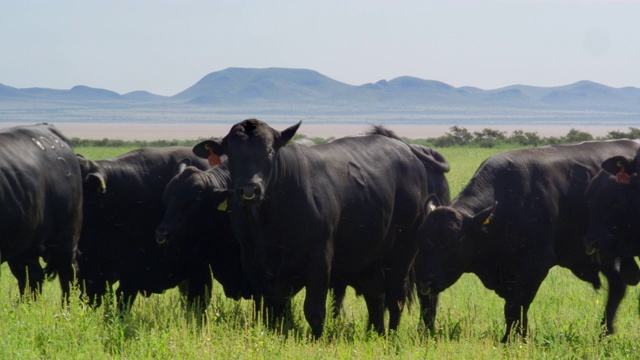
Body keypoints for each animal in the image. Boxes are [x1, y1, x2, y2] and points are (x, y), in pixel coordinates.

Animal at [200, 118, 450, 338]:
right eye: (231, 154)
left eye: (269, 152)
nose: (249, 189)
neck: (269, 222)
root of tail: (407, 152)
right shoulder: (254, 263)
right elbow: (269, 311)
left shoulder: (319, 260)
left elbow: (314, 310)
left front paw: (317, 340)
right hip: (370, 255)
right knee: (375, 294)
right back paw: (375, 333)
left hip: (404, 250)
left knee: (396, 296)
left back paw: (391, 337)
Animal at [416, 139, 640, 342]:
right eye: (422, 241)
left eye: (453, 243)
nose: (425, 281)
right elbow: (516, 307)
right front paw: (519, 336)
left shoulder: (536, 265)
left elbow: (516, 306)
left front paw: (511, 339)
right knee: (617, 286)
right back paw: (605, 332)